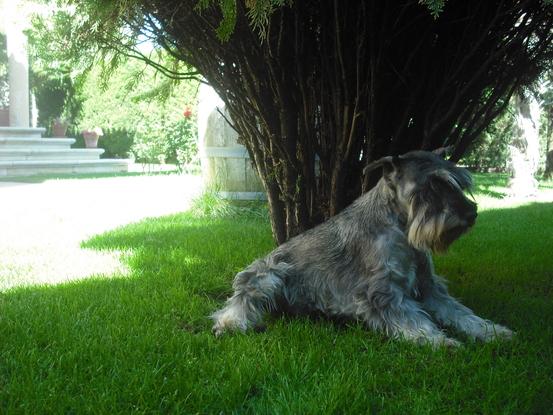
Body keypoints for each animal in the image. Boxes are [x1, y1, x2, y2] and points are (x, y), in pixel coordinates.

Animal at [211, 151, 512, 346]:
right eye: (431, 186)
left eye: (457, 182)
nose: (471, 214)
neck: (401, 230)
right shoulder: (381, 294)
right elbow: (413, 320)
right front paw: (440, 342)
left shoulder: (429, 287)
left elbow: (460, 313)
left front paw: (492, 331)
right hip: (268, 273)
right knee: (239, 301)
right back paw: (229, 323)